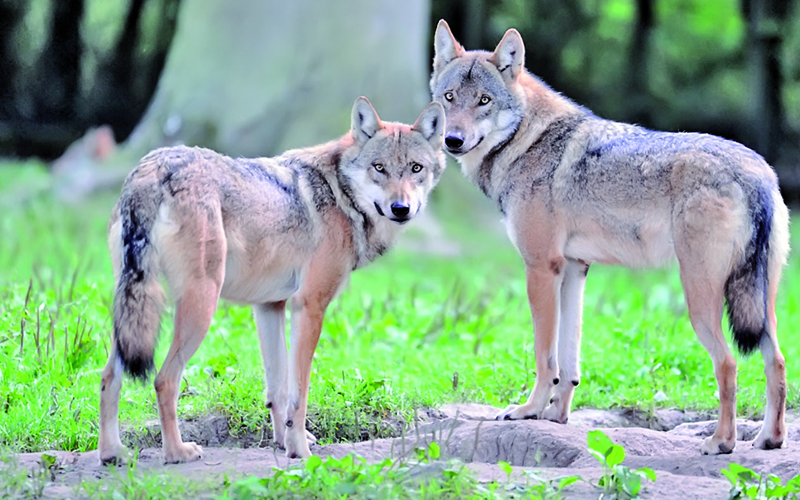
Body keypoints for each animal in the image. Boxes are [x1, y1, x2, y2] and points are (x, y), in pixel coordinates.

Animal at [99, 97, 446, 464]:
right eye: (379, 168)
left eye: (416, 168)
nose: (401, 208)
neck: (341, 195)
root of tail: (154, 167)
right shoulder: (309, 307)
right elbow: (299, 392)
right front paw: (300, 450)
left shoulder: (269, 307)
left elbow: (277, 391)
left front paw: (283, 441)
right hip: (199, 307)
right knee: (164, 379)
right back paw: (178, 452)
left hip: (134, 314)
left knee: (108, 376)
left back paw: (112, 453)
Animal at [428, 20, 792, 458]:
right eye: (449, 97)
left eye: (484, 101)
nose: (453, 140)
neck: (527, 141)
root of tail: (757, 173)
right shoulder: (574, 270)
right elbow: (569, 363)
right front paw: (556, 417)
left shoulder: (541, 268)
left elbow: (545, 357)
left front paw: (528, 411)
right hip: (761, 304)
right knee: (778, 361)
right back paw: (769, 439)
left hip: (700, 299)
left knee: (728, 364)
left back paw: (720, 442)